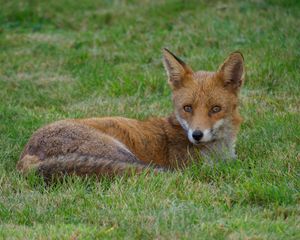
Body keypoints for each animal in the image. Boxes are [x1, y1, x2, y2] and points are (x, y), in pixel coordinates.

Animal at [16, 49, 245, 180]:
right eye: (187, 108)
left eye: (215, 109)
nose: (197, 135)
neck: (218, 151)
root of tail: (26, 154)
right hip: (122, 154)